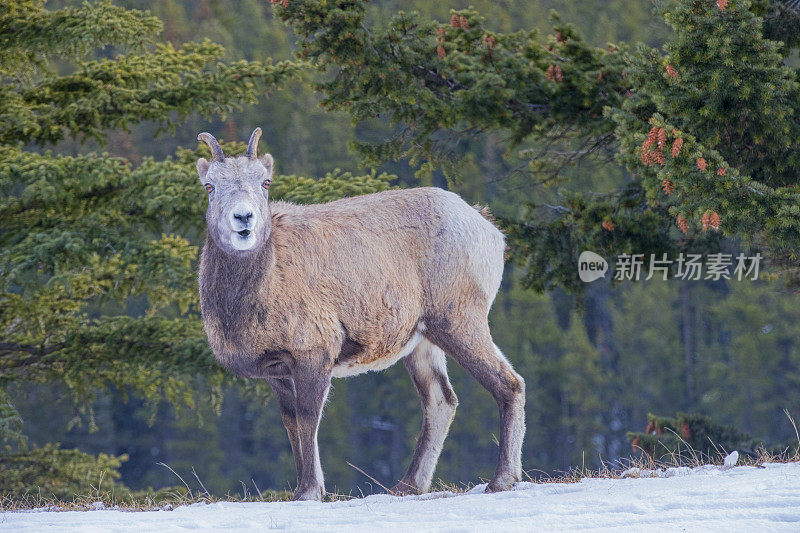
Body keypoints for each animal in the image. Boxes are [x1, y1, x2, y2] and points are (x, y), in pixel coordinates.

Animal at [198, 128, 528, 498]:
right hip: (422, 342)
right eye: (210, 186)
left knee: (509, 384)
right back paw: (407, 486)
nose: (243, 219)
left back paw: (501, 480)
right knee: (441, 401)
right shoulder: (278, 372)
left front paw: (310, 491)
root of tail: (489, 229)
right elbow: (292, 423)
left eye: (265, 182)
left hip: (459, 322)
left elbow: (309, 420)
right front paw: (301, 491)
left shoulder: (314, 357)